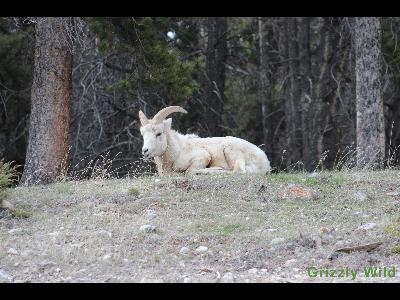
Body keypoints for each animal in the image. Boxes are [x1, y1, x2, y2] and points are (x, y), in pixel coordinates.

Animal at [138, 106, 272, 175]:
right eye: (142, 134)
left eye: (158, 133)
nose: (145, 151)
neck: (178, 151)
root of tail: (265, 162)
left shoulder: (203, 157)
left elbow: (189, 171)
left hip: (230, 150)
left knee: (237, 171)